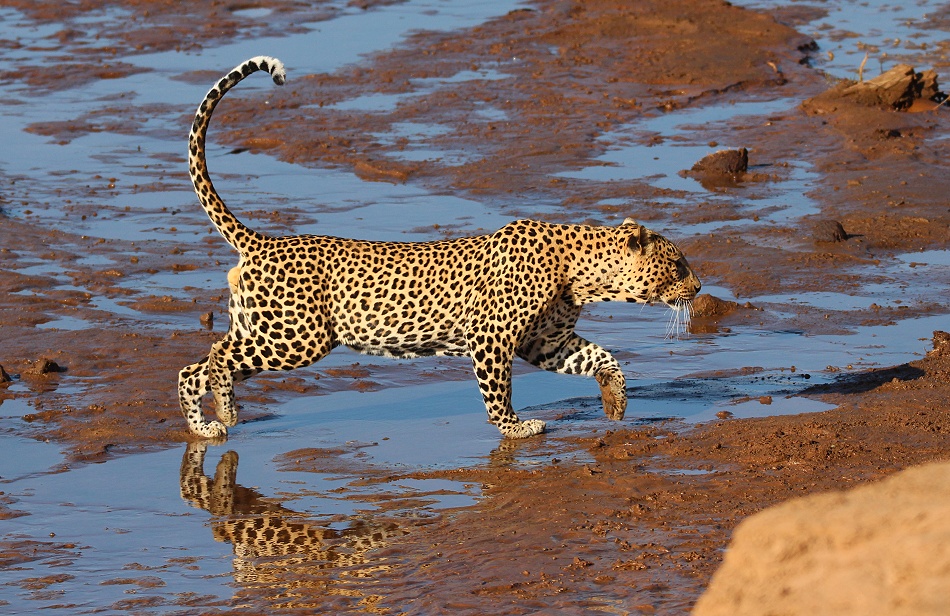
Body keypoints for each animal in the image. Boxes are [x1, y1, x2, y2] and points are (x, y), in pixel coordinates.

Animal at [178, 56, 702, 441]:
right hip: (295, 337)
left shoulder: (546, 341)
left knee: (194, 366)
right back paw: (222, 413)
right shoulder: (492, 337)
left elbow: (603, 358)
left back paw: (208, 424)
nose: (699, 288)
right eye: (678, 265)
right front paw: (515, 429)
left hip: (262, 331)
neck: (582, 274)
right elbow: (498, 391)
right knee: (212, 360)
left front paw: (616, 401)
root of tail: (262, 240)